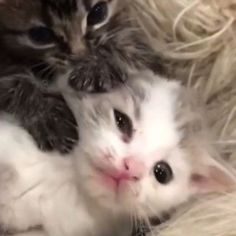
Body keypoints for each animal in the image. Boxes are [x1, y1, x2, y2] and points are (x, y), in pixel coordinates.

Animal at [0, 0, 165, 153]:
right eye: (40, 35)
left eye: (98, 13)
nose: (79, 56)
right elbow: (15, 80)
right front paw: (48, 116)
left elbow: (125, 40)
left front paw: (97, 65)